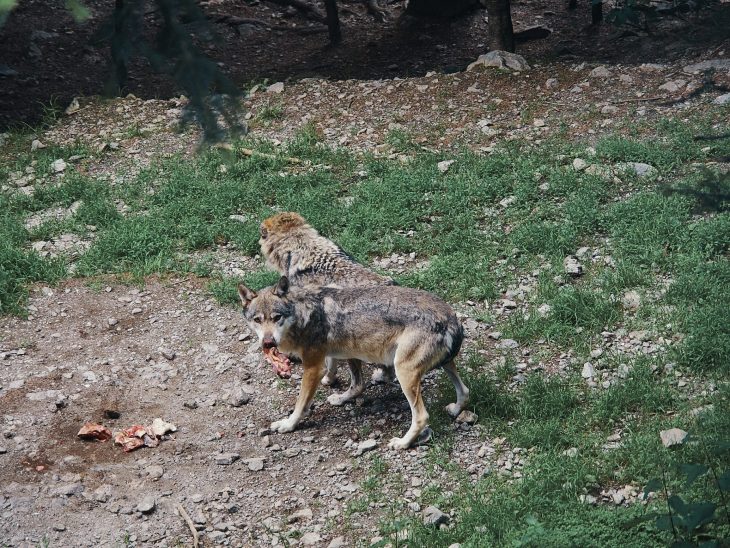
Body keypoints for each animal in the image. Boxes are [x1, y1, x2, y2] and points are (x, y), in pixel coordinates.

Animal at [236, 274, 470, 450]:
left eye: (276, 318)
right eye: (257, 320)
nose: (268, 342)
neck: (302, 313)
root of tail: (453, 319)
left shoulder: (312, 367)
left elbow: (301, 404)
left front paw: (288, 424)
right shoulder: (339, 353)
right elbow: (353, 382)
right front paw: (336, 390)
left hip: (404, 372)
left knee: (422, 416)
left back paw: (403, 443)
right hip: (443, 365)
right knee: (465, 391)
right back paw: (455, 410)